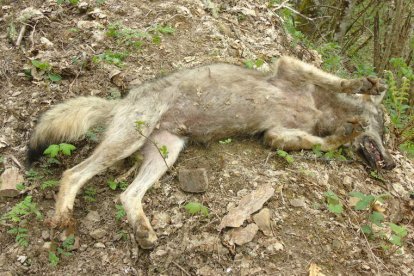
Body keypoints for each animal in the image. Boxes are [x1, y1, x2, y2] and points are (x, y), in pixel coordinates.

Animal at [27, 56, 396, 248]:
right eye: (384, 130)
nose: (392, 164)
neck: (324, 111)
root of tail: (121, 101)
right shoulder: (289, 66)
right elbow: (334, 79)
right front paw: (363, 85)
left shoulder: (276, 136)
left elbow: (319, 141)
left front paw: (343, 134)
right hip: (129, 142)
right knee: (72, 174)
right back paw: (63, 218)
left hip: (166, 155)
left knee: (128, 195)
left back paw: (144, 231)